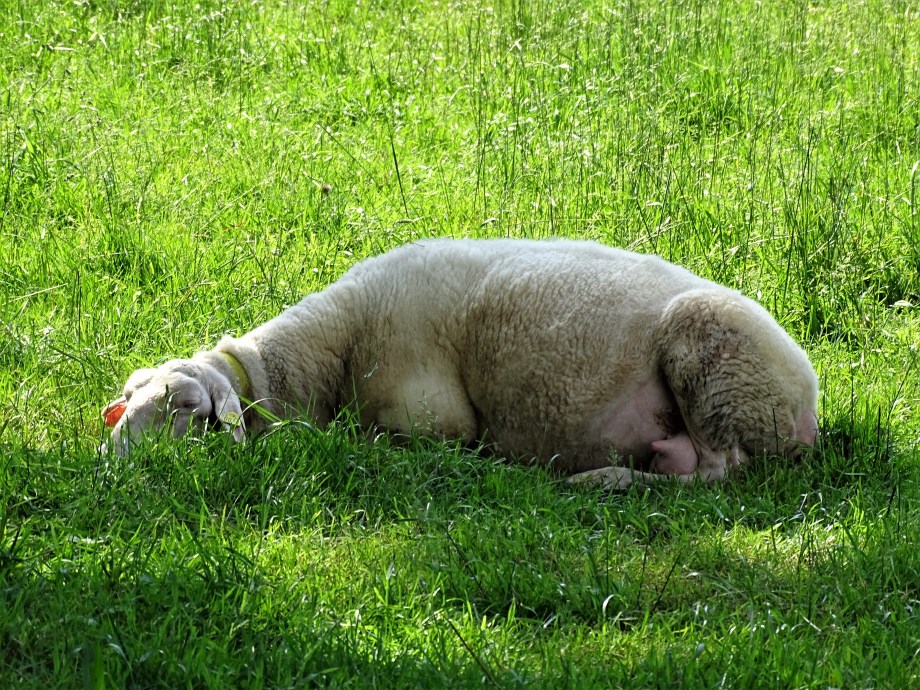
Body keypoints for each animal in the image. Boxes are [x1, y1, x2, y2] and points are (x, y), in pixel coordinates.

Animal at [102, 238, 819, 488]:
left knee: (721, 472)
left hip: (718, 370)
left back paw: (606, 480)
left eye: (187, 409)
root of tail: (808, 403)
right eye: (128, 403)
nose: (114, 461)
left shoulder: (430, 422)